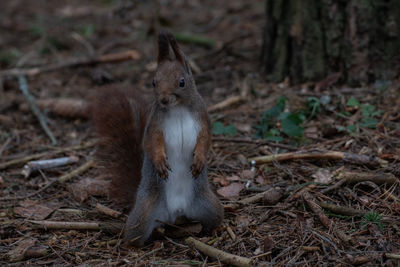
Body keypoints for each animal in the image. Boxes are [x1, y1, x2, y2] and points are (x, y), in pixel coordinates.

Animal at [94, 30, 225, 246]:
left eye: (182, 82)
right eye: (153, 82)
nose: (163, 99)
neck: (178, 108)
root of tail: (176, 212)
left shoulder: (203, 118)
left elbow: (206, 139)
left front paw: (199, 159)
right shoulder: (154, 125)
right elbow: (152, 142)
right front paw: (160, 161)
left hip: (209, 205)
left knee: (213, 218)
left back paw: (214, 230)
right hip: (144, 213)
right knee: (134, 235)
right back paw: (145, 239)